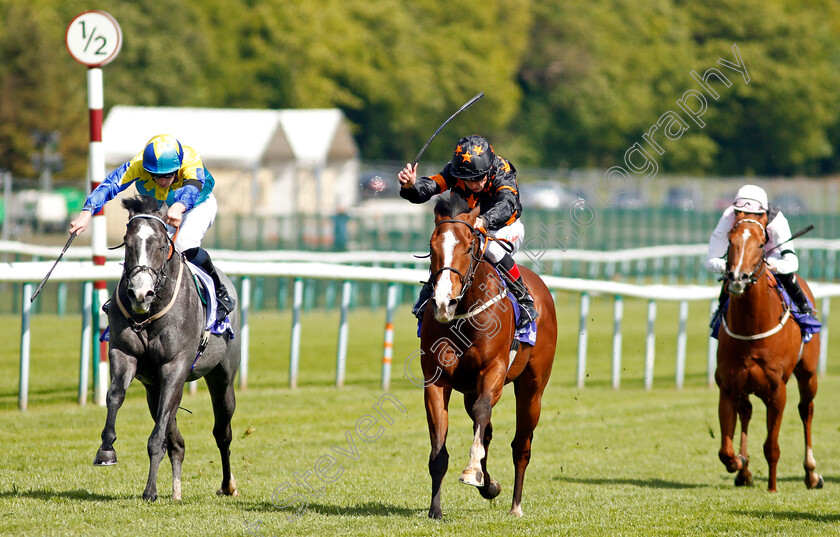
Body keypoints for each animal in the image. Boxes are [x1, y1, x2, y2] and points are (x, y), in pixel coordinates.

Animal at [93, 195, 241, 500]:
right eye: (127, 242)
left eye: (161, 244)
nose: (140, 293)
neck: (149, 313)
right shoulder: (125, 355)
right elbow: (115, 395)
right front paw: (106, 450)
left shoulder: (175, 366)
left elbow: (158, 435)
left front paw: (150, 490)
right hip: (154, 388)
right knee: (177, 439)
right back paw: (176, 490)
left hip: (222, 377)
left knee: (222, 433)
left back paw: (227, 485)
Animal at [420, 198, 556, 520]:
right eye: (432, 246)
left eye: (470, 245)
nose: (443, 302)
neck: (463, 316)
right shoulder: (436, 380)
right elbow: (439, 450)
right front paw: (435, 510)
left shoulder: (493, 369)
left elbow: (484, 412)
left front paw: (472, 471)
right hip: (470, 390)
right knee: (487, 430)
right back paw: (490, 484)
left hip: (532, 388)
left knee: (521, 444)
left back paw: (515, 505)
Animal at [716, 217, 820, 490]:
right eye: (730, 241)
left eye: (762, 243)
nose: (738, 278)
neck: (751, 329)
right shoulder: (729, 387)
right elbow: (725, 451)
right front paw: (740, 462)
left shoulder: (777, 391)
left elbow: (771, 447)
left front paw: (772, 488)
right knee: (746, 411)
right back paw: (744, 472)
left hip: (808, 374)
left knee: (806, 410)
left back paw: (811, 473)